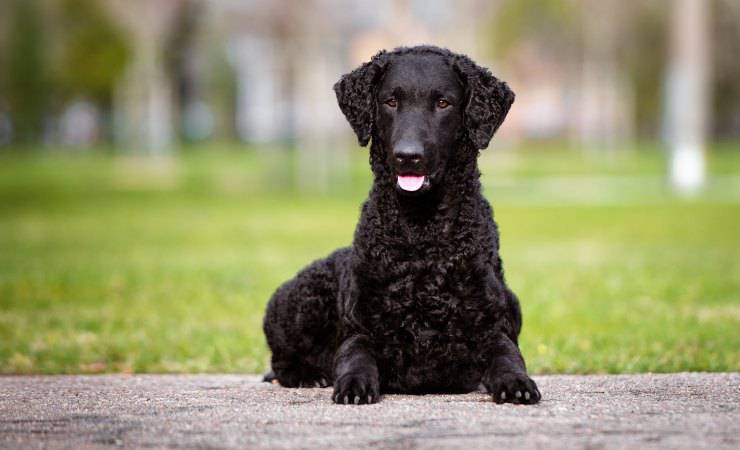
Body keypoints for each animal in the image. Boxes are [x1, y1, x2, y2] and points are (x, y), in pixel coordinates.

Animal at [264, 44, 540, 404]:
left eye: (443, 103)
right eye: (391, 101)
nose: (408, 156)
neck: (422, 236)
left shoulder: (492, 328)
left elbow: (507, 356)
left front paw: (516, 382)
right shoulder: (359, 329)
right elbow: (355, 356)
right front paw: (353, 384)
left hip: (513, 302)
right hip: (300, 300)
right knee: (280, 361)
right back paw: (309, 376)